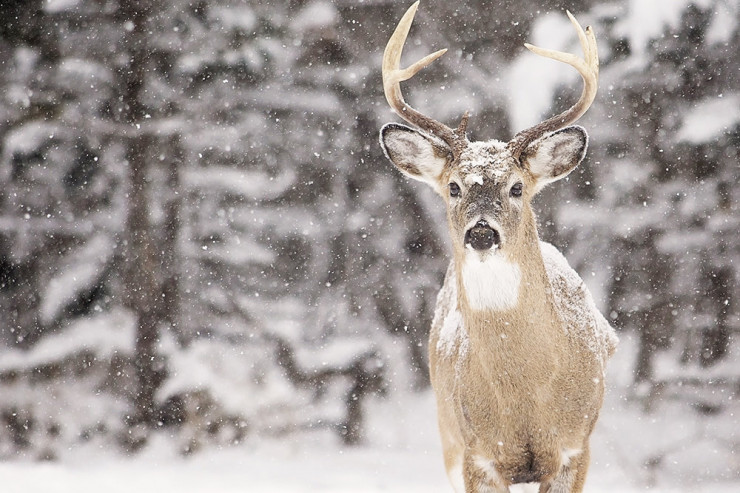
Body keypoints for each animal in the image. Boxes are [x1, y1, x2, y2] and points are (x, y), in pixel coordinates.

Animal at [376, 1, 620, 490]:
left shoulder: (575, 448)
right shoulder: (476, 455)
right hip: (446, 434)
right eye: (453, 186)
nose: (482, 232)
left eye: (516, 187)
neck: (525, 396)